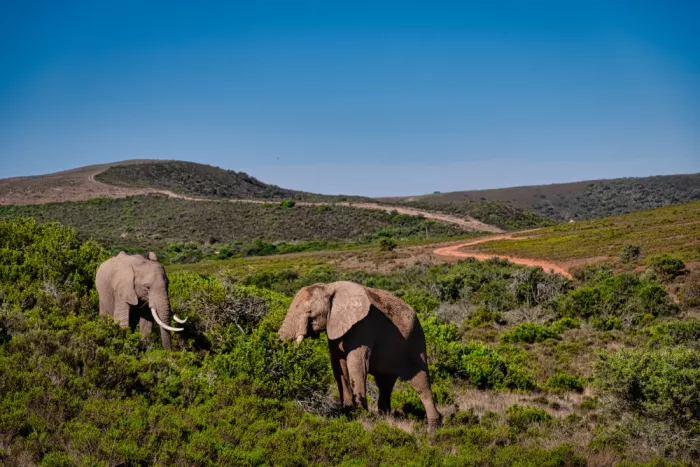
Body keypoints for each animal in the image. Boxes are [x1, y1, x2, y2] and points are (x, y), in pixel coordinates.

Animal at [279, 281, 442, 428]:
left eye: (309, 312)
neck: (329, 287)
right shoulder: (335, 326)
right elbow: (338, 365)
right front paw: (347, 412)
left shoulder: (364, 326)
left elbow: (356, 365)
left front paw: (361, 416)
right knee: (385, 384)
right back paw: (385, 418)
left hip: (416, 340)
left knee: (421, 382)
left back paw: (433, 427)